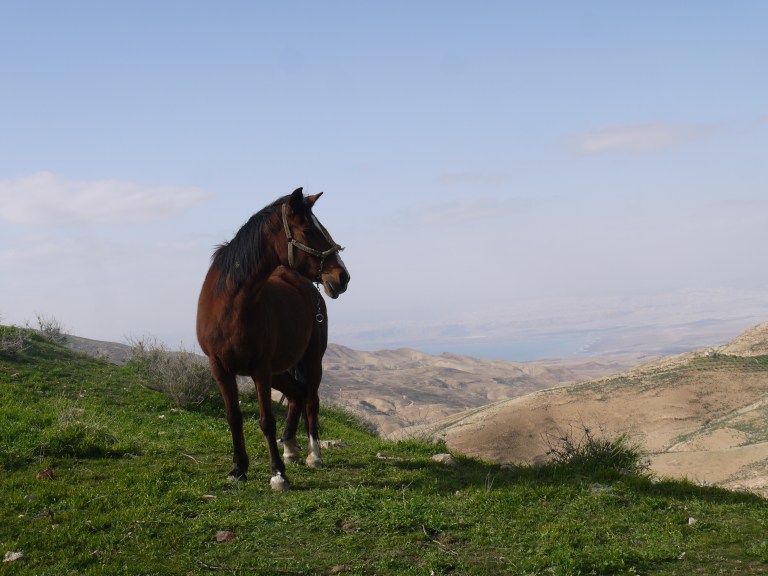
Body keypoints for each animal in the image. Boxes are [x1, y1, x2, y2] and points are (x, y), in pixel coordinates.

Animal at [196, 188, 350, 490]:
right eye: (308, 230)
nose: (342, 277)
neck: (231, 305)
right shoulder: (220, 369)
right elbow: (234, 418)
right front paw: (238, 469)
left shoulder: (260, 369)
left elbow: (266, 420)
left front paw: (278, 474)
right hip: (279, 370)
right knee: (296, 394)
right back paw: (289, 447)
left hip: (311, 361)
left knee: (310, 400)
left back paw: (313, 455)